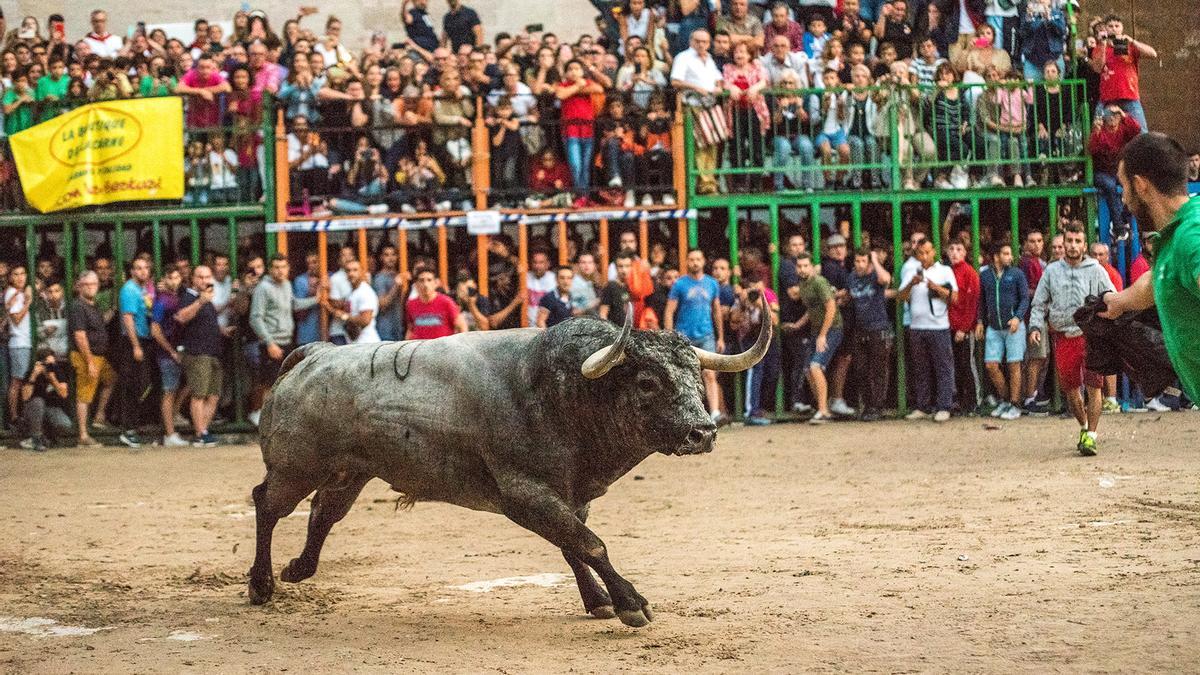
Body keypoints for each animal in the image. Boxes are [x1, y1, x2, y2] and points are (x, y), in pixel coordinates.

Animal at [246, 302, 768, 624]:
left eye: (694, 373)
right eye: (646, 382)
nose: (703, 432)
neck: (560, 392)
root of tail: (314, 354)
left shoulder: (568, 496)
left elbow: (573, 545)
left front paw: (598, 601)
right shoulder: (525, 494)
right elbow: (590, 544)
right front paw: (629, 603)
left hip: (350, 472)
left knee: (322, 514)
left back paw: (297, 570)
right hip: (295, 468)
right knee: (267, 505)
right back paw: (261, 585)